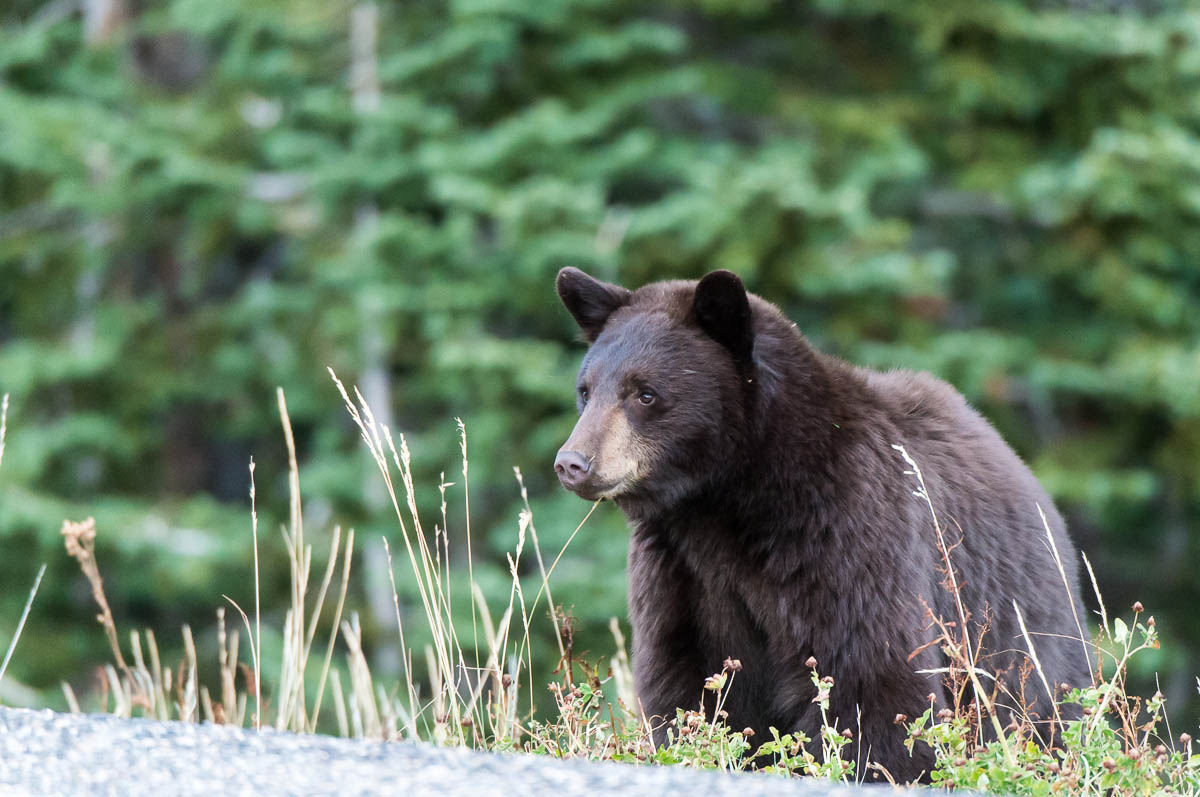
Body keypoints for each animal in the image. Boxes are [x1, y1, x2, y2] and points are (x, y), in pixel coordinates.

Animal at [554, 268, 1099, 782]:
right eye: (585, 390)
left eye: (645, 393)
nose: (572, 463)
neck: (729, 501)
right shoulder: (682, 566)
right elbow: (687, 679)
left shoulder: (846, 529)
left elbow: (872, 680)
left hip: (1017, 629)